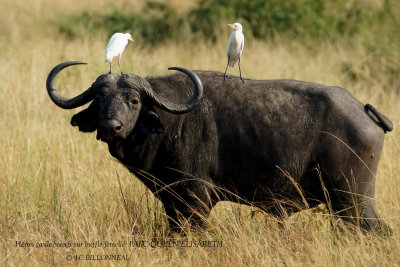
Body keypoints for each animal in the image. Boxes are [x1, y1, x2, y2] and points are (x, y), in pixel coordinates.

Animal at [46, 61, 390, 234]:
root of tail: (363, 109)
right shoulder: (171, 202)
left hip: (353, 200)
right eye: (99, 99)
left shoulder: (197, 198)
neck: (168, 124)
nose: (110, 128)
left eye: (133, 100)